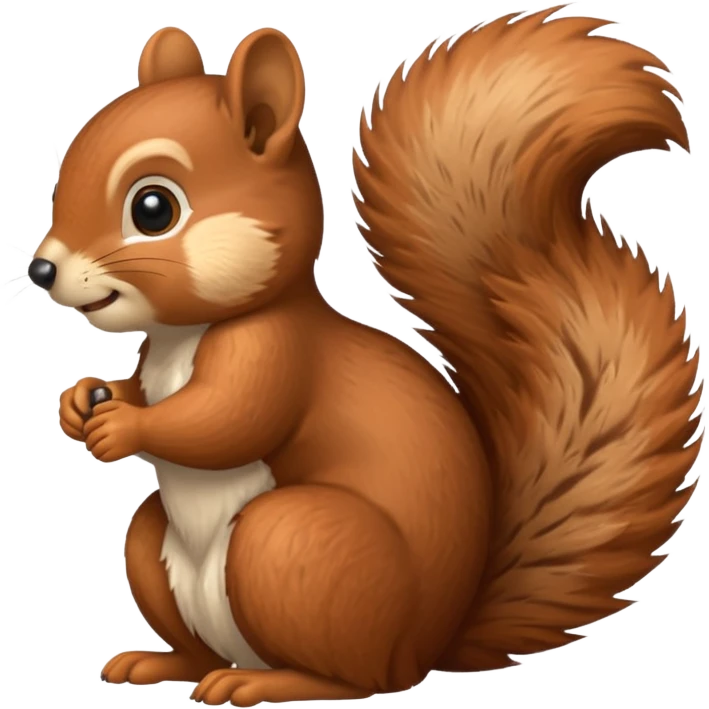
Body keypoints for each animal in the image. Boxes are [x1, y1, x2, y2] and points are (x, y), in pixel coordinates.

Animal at [34, 6, 702, 707]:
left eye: (153, 208)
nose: (42, 269)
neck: (184, 335)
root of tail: (428, 647)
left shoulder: (278, 354)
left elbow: (226, 421)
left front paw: (122, 425)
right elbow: (142, 388)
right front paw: (82, 402)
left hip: (294, 546)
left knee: (354, 679)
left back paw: (267, 682)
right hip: (158, 547)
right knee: (194, 631)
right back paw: (162, 662)